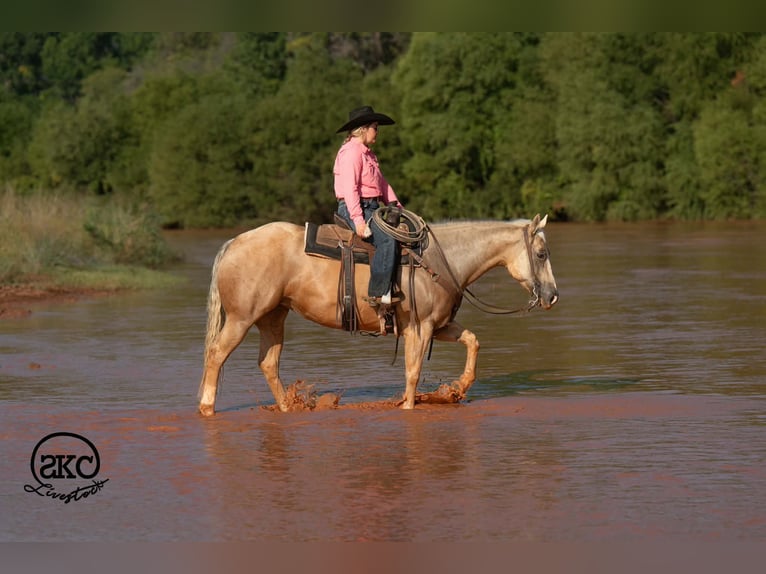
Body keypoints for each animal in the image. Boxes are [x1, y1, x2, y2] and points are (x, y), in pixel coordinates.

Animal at [198, 214, 558, 415]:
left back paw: (286, 408)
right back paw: (207, 408)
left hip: (272, 317)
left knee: (268, 364)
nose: (553, 296)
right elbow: (412, 372)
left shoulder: (439, 325)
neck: (441, 261)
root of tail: (234, 242)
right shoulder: (420, 327)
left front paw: (459, 388)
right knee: (216, 354)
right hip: (242, 318)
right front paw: (409, 407)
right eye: (541, 254)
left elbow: (473, 340)